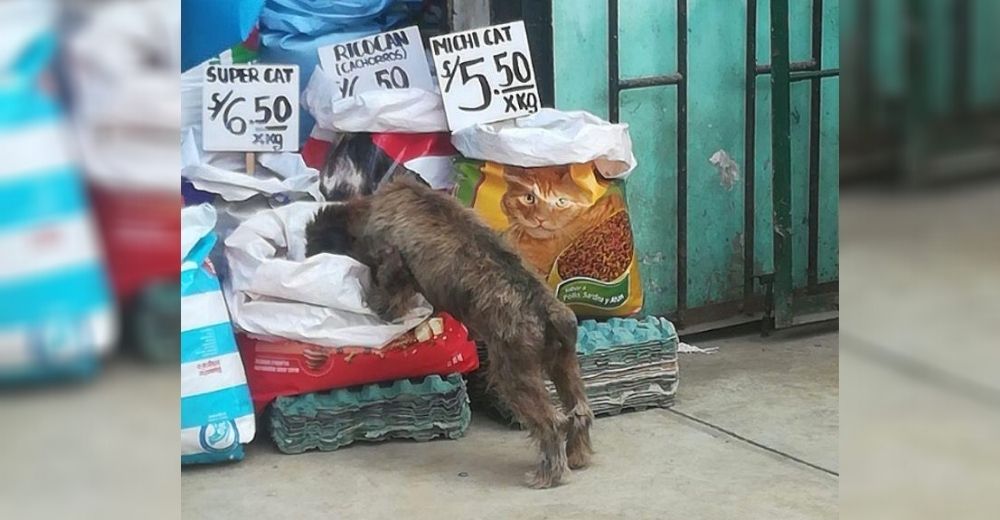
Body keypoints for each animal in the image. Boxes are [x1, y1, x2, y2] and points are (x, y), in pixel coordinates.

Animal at [300, 177, 588, 486]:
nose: (305, 260)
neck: (368, 211)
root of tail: (548, 310)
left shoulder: (391, 281)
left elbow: (385, 299)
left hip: (515, 376)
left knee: (553, 423)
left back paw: (549, 474)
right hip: (563, 365)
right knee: (580, 412)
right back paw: (577, 456)